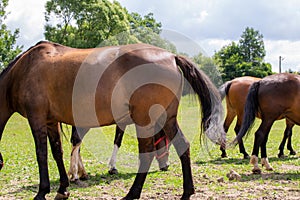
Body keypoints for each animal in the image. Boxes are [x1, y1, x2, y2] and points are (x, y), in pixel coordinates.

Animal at [0, 41, 225, 200]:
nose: (165, 167)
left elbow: (42, 154)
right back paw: (186, 192)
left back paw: (132, 194)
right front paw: (63, 188)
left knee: (146, 153)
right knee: (182, 146)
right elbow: (57, 153)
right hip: (167, 119)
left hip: (145, 120)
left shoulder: (37, 118)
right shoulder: (50, 121)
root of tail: (171, 57)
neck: (25, 69)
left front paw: (42, 192)